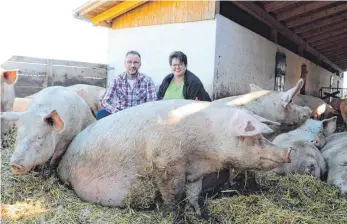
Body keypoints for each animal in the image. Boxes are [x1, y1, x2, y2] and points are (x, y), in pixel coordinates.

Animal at [56, 100, 290, 222]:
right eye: (257, 137)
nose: (288, 153)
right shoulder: (166, 164)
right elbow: (175, 196)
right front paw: (178, 218)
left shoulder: (194, 173)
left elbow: (195, 196)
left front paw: (204, 216)